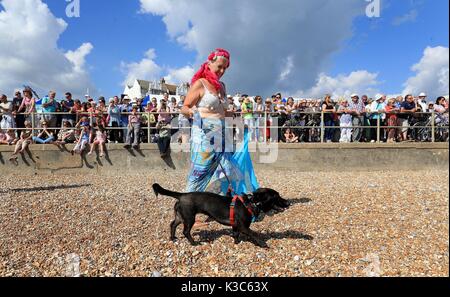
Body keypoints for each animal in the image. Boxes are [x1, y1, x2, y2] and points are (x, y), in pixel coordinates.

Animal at [153, 183, 290, 247]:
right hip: (189, 217)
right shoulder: (243, 226)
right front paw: (262, 243)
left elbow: (236, 234)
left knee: (172, 225)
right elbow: (253, 234)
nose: (288, 202)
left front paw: (236, 242)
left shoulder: (236, 226)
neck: (251, 203)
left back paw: (172, 238)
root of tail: (182, 195)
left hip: (180, 216)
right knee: (186, 231)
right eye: (276, 196)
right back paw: (194, 243)